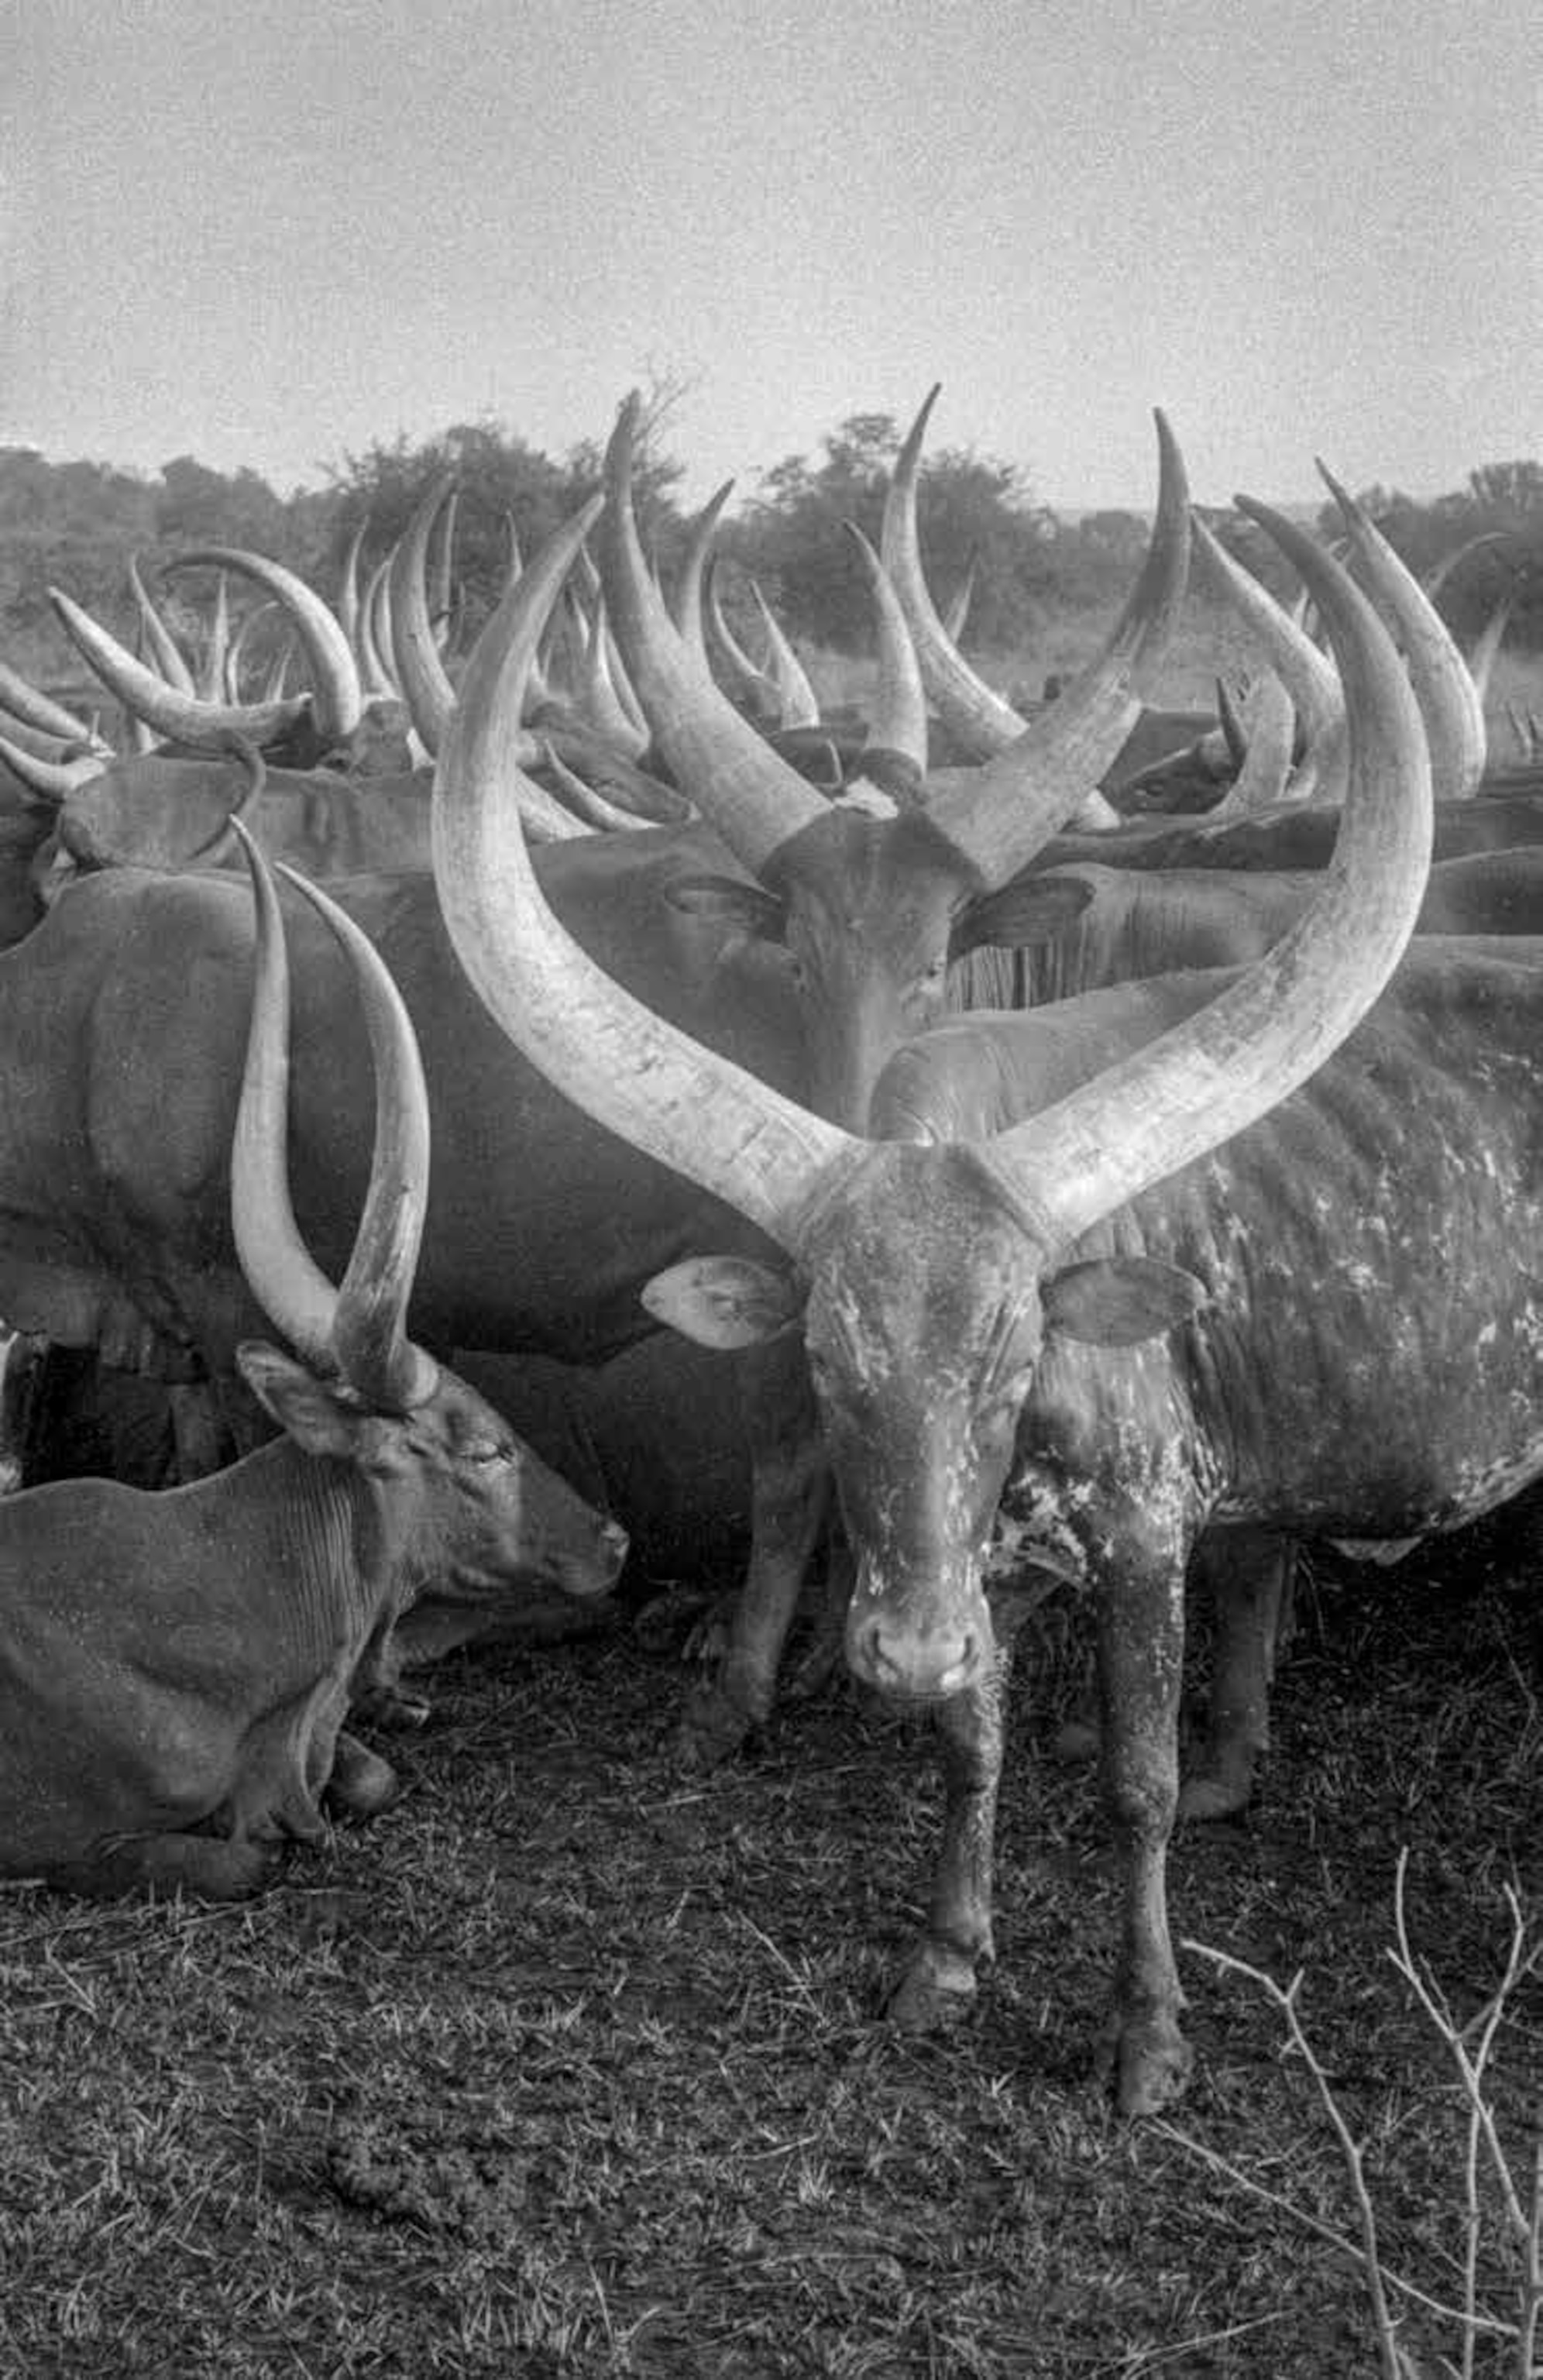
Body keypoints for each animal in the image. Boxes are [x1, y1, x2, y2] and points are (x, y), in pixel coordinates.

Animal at [432, 478, 1543, 2119]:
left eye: (1017, 1354)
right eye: (825, 1365)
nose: (887, 1653)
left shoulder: (1148, 1534)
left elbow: (1136, 1785)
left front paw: (1147, 2033)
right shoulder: (964, 1575)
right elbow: (968, 1749)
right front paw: (946, 1962)